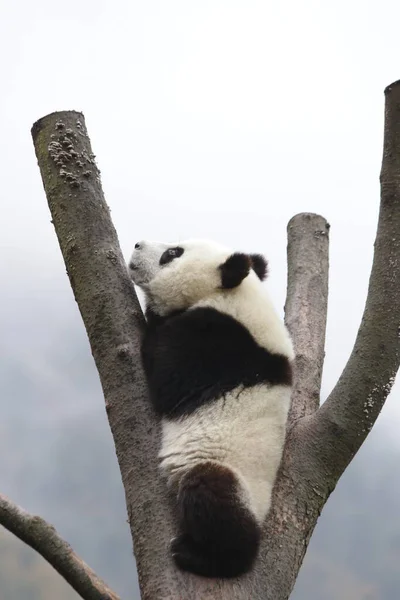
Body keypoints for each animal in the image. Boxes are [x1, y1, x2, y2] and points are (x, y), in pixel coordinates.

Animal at [128, 238, 294, 576]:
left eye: (173, 253)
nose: (137, 244)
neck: (237, 295)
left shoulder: (218, 341)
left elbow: (170, 377)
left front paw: (155, 315)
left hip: (232, 476)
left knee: (211, 493)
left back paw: (198, 555)